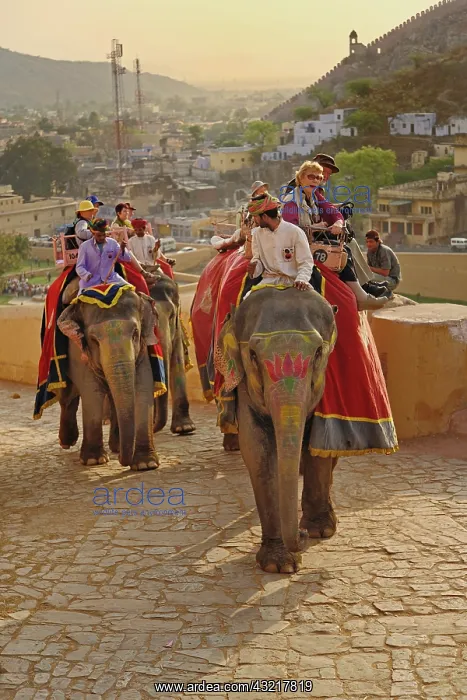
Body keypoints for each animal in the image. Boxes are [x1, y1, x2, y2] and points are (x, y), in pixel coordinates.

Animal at [56, 287, 160, 470]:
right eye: (93, 340)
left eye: (135, 334)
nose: (123, 462)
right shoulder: (78, 349)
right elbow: (92, 392)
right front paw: (93, 460)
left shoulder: (143, 350)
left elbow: (143, 387)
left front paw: (145, 464)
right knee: (67, 396)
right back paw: (66, 442)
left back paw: (117, 446)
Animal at [216, 285, 337, 574]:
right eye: (253, 355)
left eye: (318, 352)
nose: (301, 537)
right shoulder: (245, 386)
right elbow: (257, 449)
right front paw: (278, 565)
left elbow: (320, 442)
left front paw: (318, 531)